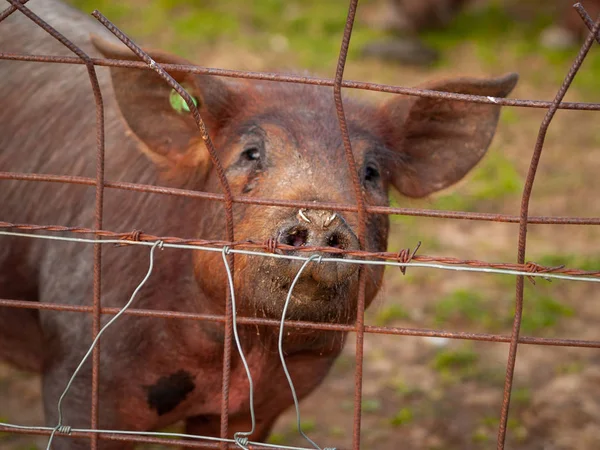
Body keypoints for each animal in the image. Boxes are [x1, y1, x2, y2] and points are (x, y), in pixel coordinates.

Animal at [0, 0, 516, 446]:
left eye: (371, 173)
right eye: (250, 154)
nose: (319, 213)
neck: (238, 350)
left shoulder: (266, 405)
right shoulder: (82, 373)